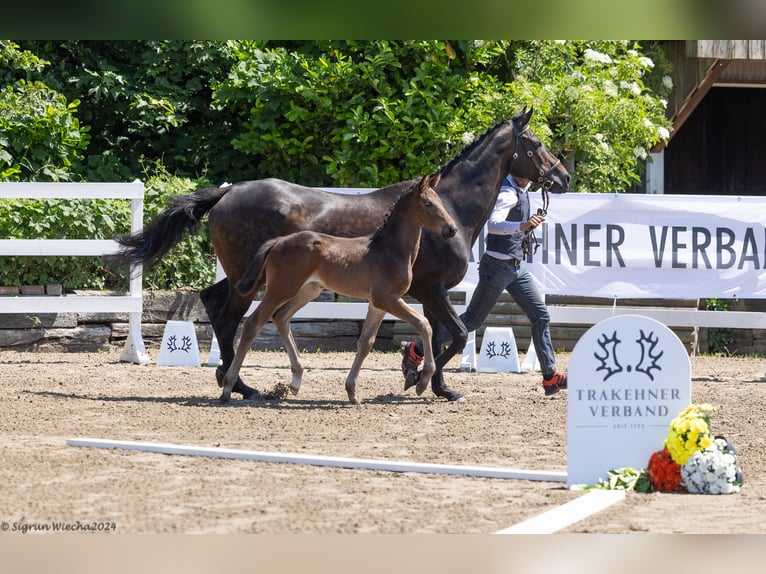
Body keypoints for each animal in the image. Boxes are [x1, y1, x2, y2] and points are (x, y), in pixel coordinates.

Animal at [225, 174, 460, 404]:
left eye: (440, 202)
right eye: (428, 203)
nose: (451, 229)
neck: (389, 251)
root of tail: (278, 241)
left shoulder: (378, 304)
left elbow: (366, 342)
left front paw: (352, 392)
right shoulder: (388, 299)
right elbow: (424, 324)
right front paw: (422, 381)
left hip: (308, 290)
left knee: (281, 317)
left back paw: (295, 381)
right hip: (280, 289)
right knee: (253, 324)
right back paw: (228, 387)